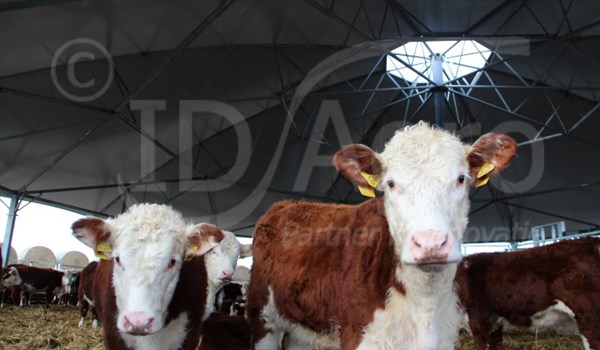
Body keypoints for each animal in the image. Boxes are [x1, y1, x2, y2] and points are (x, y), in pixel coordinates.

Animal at [244, 121, 516, 348]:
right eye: (391, 184)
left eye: (460, 178)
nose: (430, 244)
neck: (424, 306)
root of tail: (287, 204)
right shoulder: (359, 335)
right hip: (262, 316)